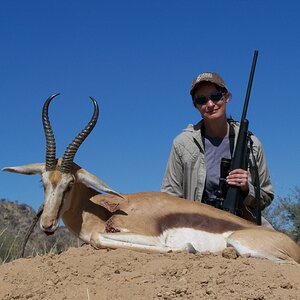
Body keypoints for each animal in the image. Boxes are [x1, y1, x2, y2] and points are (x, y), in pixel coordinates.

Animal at [2, 95, 300, 264]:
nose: (47, 224)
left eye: (70, 184)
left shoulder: (147, 235)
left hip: (241, 242)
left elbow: (100, 238)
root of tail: (291, 244)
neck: (105, 210)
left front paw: (186, 249)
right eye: (42, 182)